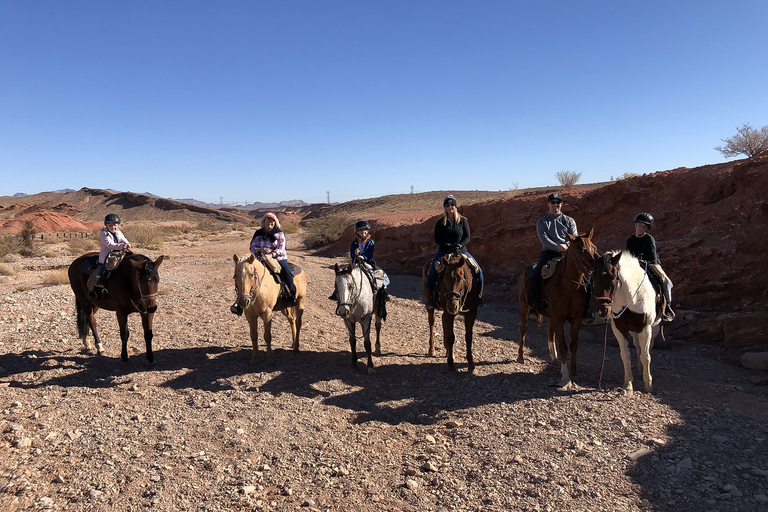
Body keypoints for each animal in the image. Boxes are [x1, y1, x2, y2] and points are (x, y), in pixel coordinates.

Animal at [516, 229, 608, 388]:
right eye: (580, 249)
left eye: (594, 247)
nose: (596, 266)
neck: (568, 287)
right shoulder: (559, 319)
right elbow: (564, 346)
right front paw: (565, 376)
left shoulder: (576, 320)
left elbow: (573, 345)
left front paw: (574, 372)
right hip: (524, 307)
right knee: (523, 329)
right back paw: (521, 357)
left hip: (549, 315)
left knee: (549, 331)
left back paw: (554, 357)